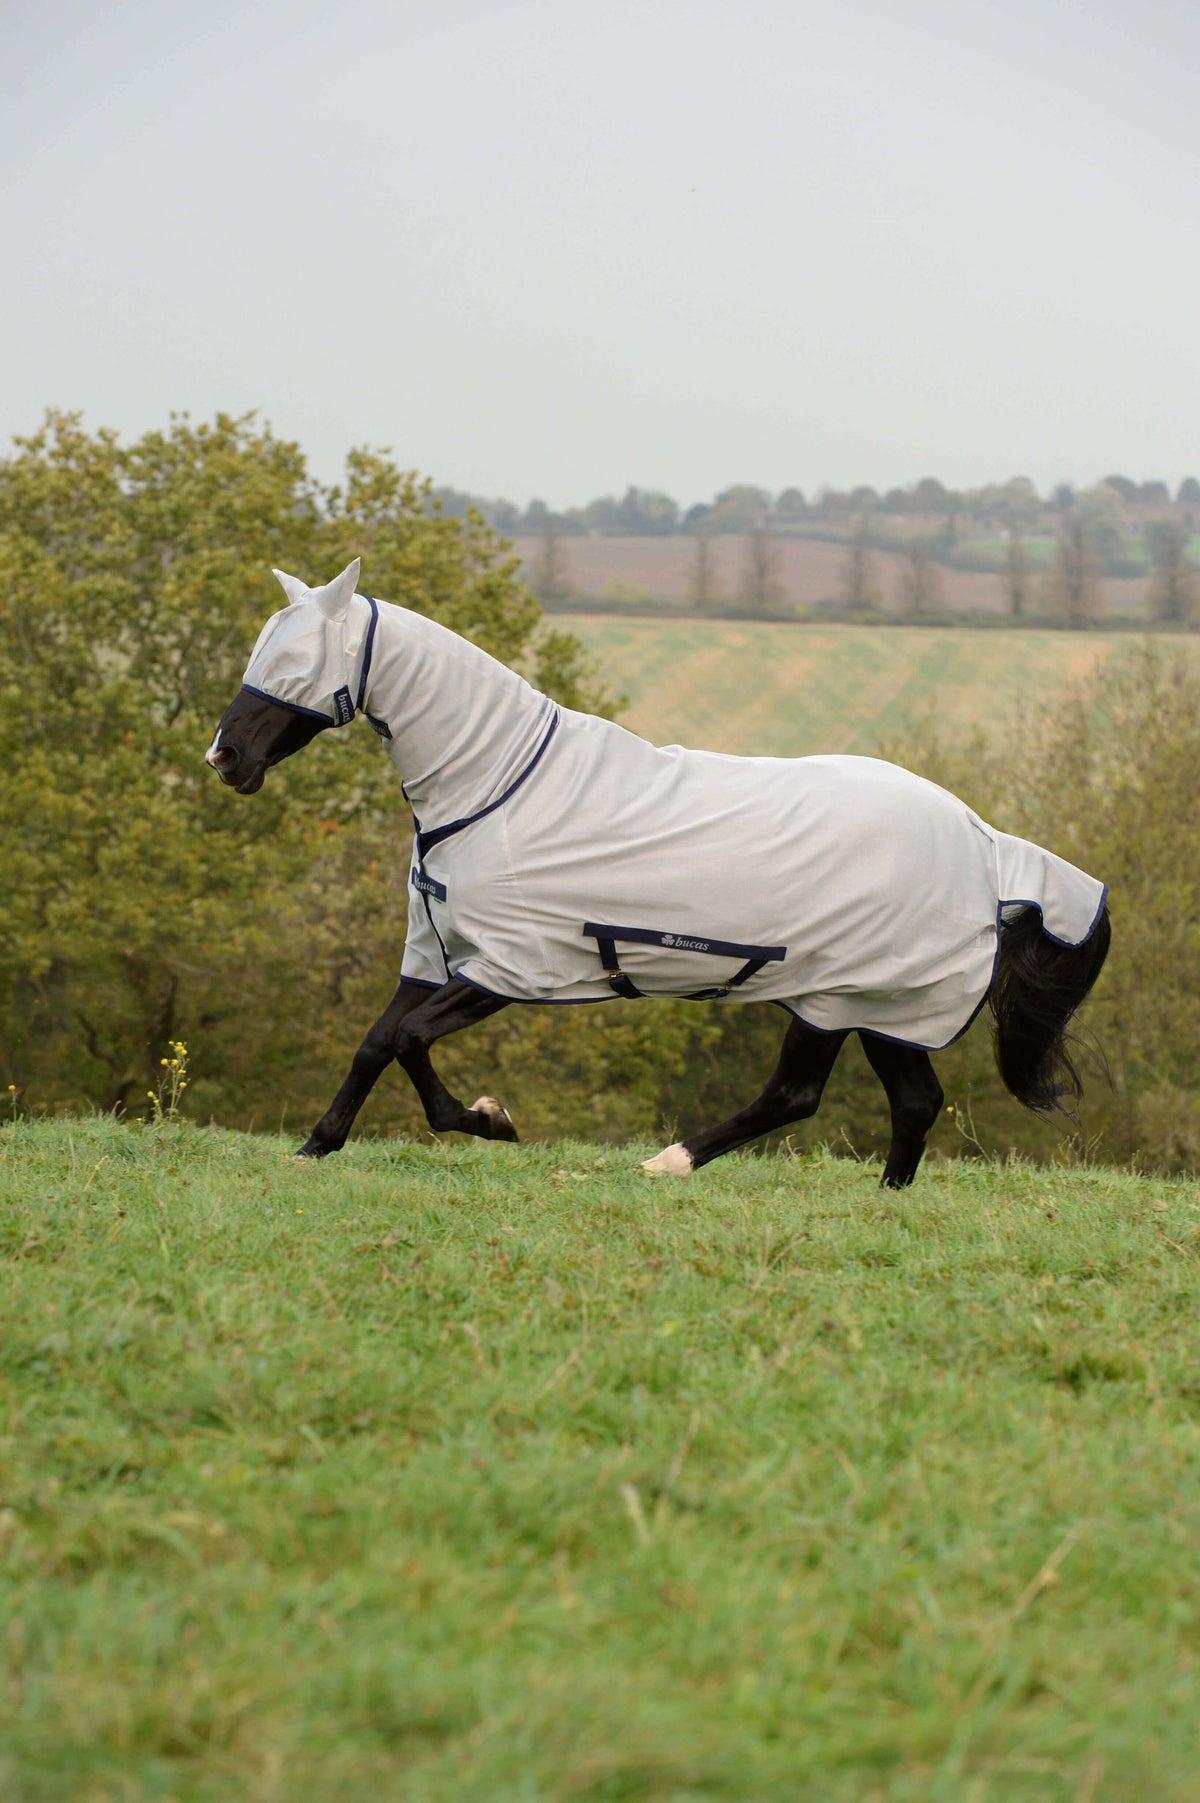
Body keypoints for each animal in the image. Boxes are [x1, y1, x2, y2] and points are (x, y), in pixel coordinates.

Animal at [207, 559, 1111, 1186]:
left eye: (295, 661)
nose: (225, 758)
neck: (497, 784)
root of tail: (987, 843)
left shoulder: (507, 969)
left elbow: (407, 1040)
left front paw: (491, 1119)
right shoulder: (432, 950)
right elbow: (375, 1041)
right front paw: (316, 1144)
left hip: (843, 996)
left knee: (802, 1095)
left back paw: (668, 1164)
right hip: (879, 1007)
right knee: (906, 1102)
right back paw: (878, 1199)